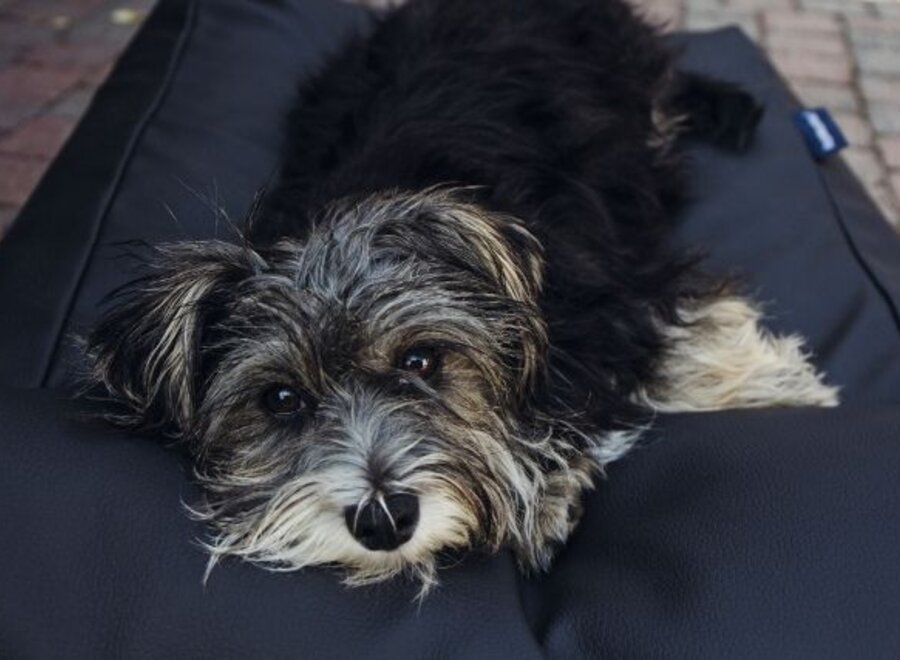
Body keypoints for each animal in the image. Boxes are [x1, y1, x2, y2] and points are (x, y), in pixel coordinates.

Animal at [82, 0, 836, 592]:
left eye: (421, 362)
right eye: (281, 399)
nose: (384, 520)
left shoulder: (624, 292)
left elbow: (689, 342)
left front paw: (785, 381)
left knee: (667, 87)